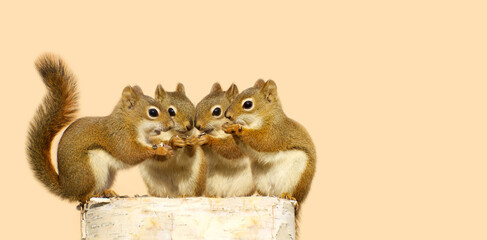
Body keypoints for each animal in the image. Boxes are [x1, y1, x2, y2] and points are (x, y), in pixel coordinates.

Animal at [26, 54, 175, 202]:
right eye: (153, 112)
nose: (171, 125)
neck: (130, 123)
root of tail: (68, 189)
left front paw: (172, 143)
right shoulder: (118, 136)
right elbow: (130, 153)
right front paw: (161, 150)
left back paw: (108, 192)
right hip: (88, 171)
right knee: (83, 197)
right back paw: (94, 195)